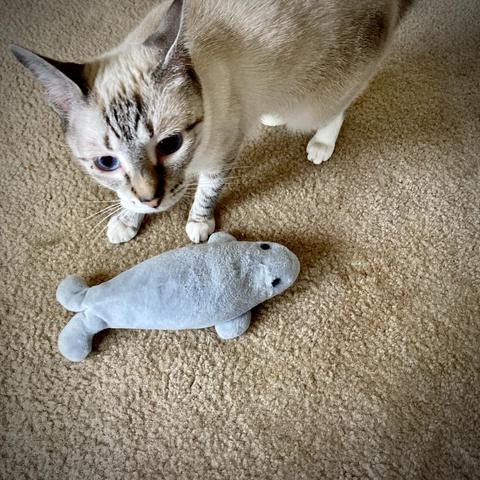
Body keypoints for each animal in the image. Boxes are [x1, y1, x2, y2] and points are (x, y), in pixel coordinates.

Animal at [10, 0, 412, 244]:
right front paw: (128, 220)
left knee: (342, 102)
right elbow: (126, 200)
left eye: (170, 145)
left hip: (315, 99)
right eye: (106, 163)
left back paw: (320, 143)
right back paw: (270, 115)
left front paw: (198, 224)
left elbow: (207, 191)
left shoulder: (223, 152)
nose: (151, 200)